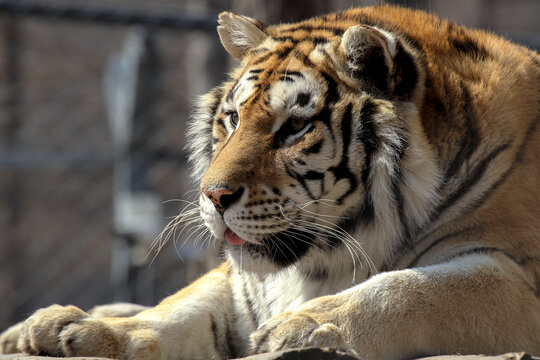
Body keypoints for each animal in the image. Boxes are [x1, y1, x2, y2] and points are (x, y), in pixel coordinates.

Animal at [1, 3, 540, 360]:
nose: (212, 196)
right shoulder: (240, 283)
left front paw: (300, 328)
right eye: (233, 118)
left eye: (295, 128)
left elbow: (411, 290)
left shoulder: (514, 273)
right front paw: (88, 331)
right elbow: (179, 309)